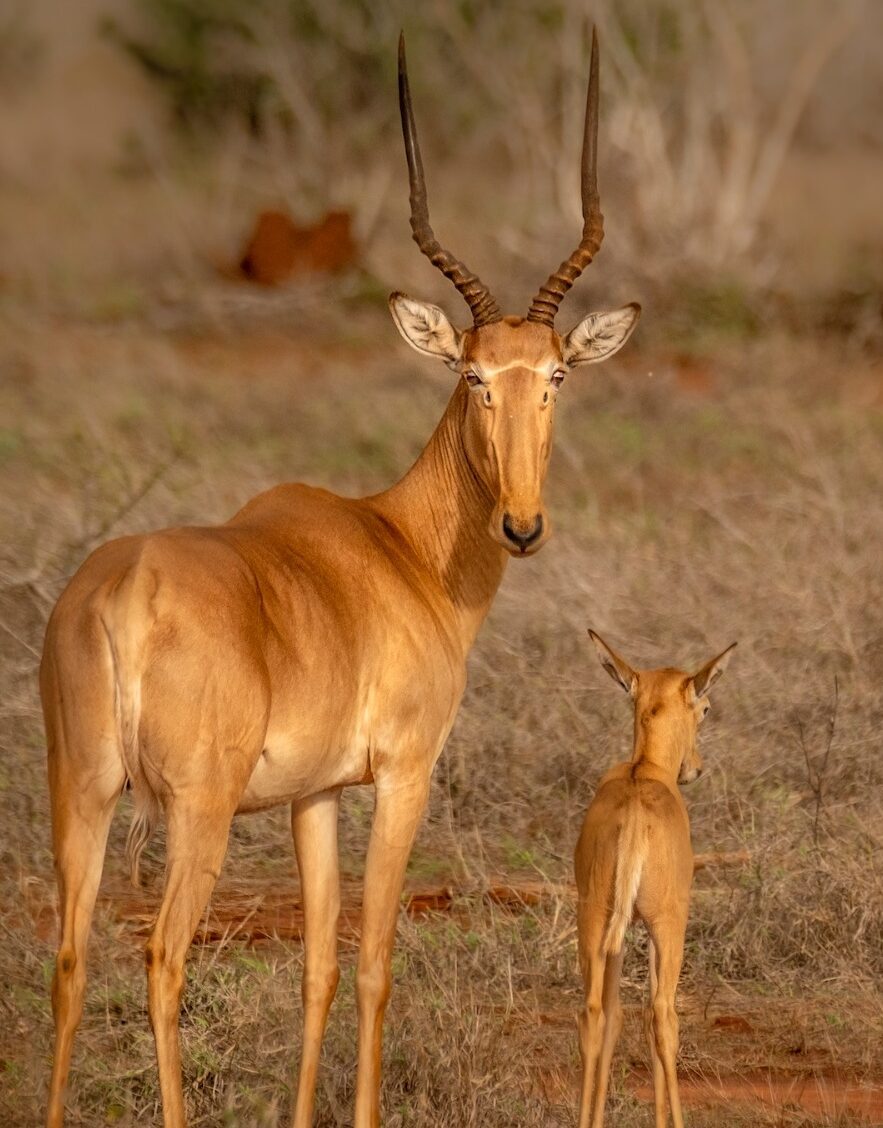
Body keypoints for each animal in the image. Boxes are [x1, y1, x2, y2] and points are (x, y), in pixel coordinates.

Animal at [41, 30, 640, 1128]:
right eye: (473, 375)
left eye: (555, 375)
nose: (521, 526)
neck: (397, 546)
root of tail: (128, 590)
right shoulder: (402, 776)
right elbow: (372, 964)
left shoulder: (311, 799)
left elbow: (317, 965)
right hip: (194, 814)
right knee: (161, 959)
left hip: (84, 790)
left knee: (68, 960)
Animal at [575, 631, 736, 1128]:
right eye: (706, 707)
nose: (694, 769)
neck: (644, 768)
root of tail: (634, 815)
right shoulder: (661, 923)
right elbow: (653, 1018)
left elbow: (617, 1017)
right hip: (668, 924)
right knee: (663, 1015)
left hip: (594, 921)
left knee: (595, 1015)